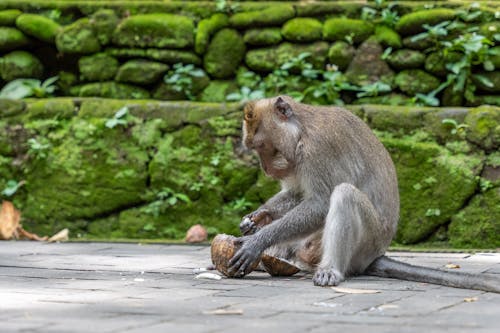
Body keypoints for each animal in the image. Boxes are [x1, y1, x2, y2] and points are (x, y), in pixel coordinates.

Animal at [229, 94, 500, 292]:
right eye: (255, 148)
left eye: (263, 146)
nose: (265, 169)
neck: (302, 130)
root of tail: (376, 254)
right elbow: (297, 194)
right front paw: (256, 218)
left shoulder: (318, 149)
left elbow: (320, 203)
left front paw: (258, 240)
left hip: (366, 243)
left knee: (344, 195)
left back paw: (330, 270)